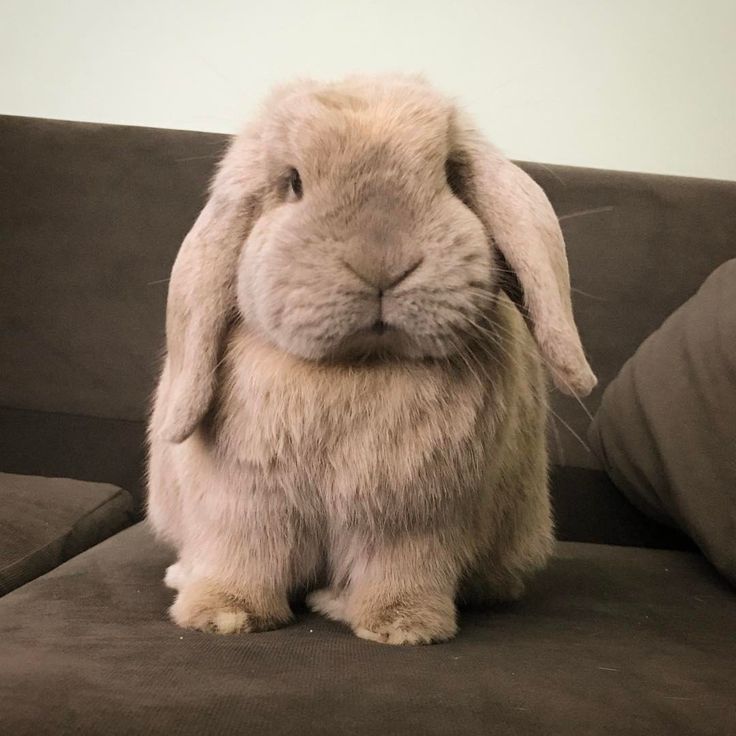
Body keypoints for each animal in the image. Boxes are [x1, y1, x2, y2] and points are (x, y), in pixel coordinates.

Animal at [147, 72, 596, 640]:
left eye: (450, 176)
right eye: (293, 182)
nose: (383, 262)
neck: (361, 366)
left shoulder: (417, 519)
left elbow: (402, 570)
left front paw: (403, 626)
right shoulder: (243, 506)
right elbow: (242, 559)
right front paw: (224, 616)